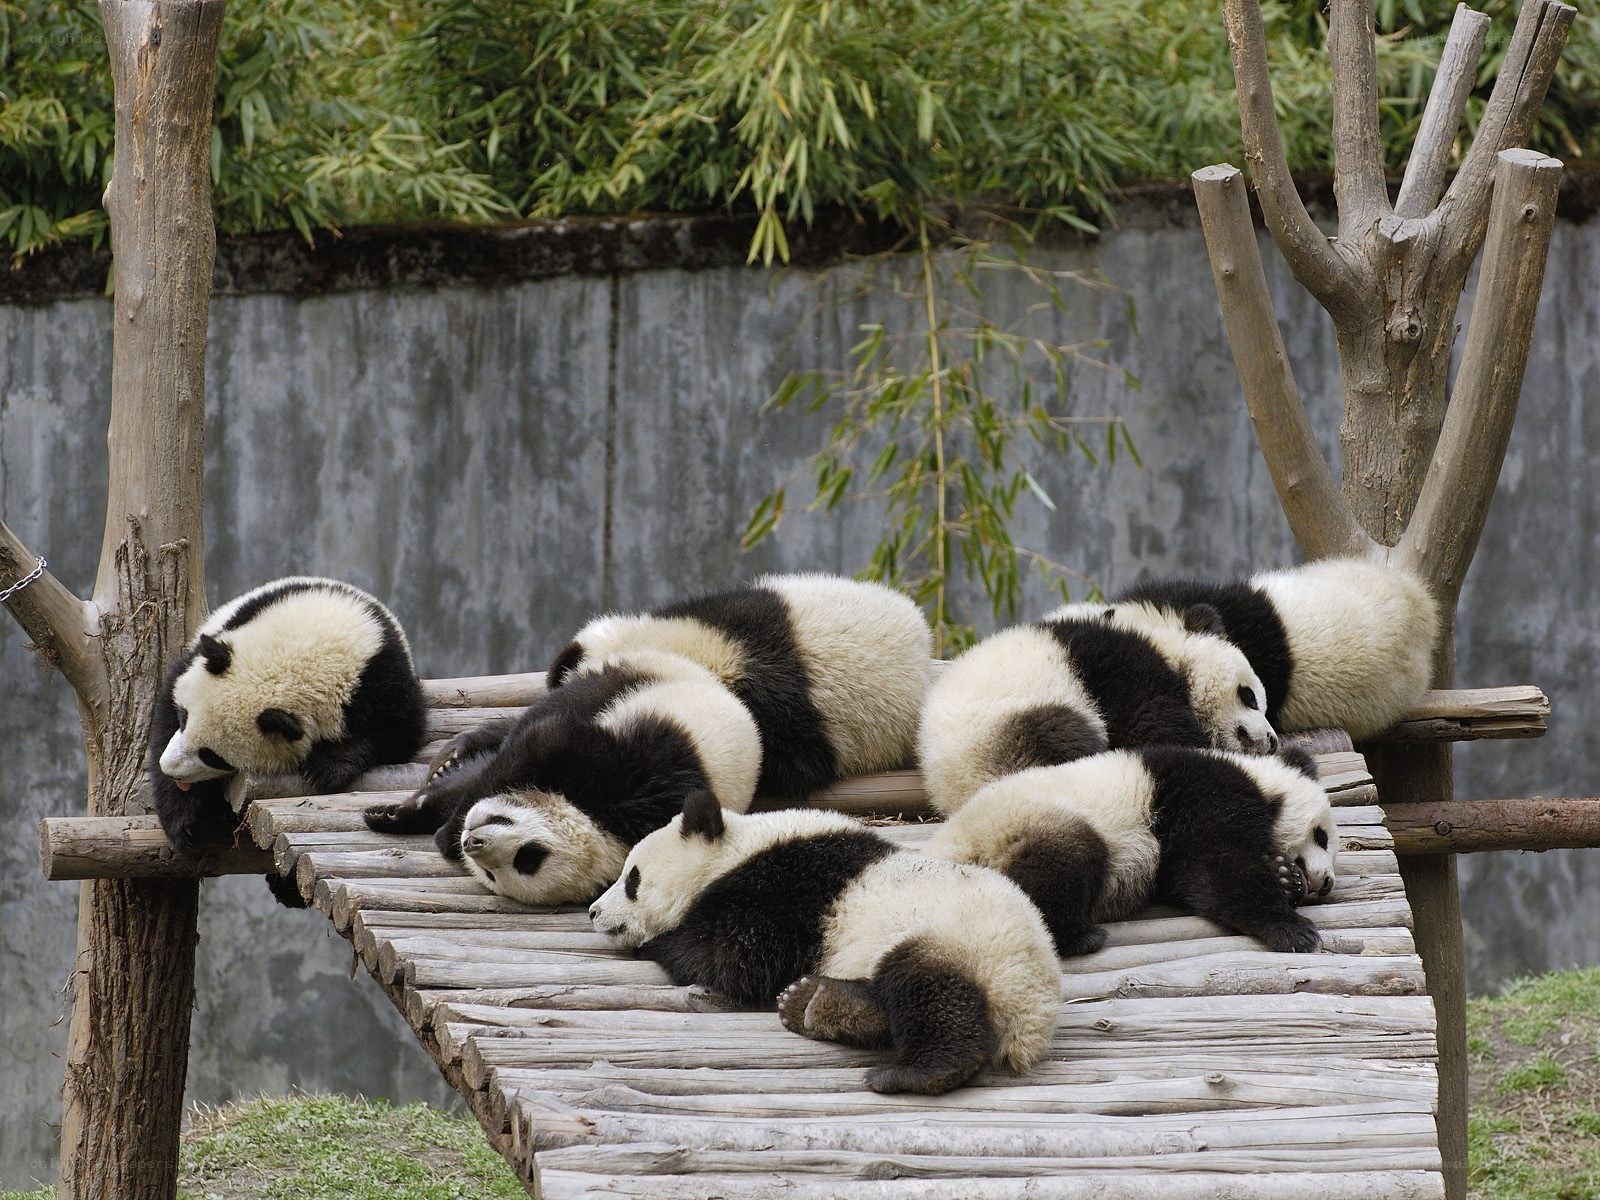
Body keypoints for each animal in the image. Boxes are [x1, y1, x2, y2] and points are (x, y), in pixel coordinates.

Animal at [150, 576, 426, 856]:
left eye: (213, 756)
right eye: (184, 718)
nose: (169, 768)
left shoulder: (379, 676)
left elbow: (399, 734)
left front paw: (325, 768)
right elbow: (165, 711)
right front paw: (186, 822)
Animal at [363, 651, 763, 905]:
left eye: (521, 863)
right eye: (531, 854)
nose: (472, 843)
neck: (605, 825)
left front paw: (433, 826)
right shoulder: (632, 774)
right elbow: (540, 742)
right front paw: (432, 821)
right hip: (635, 681)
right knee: (549, 710)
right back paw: (456, 755)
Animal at [589, 793, 1062, 1096]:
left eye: (632, 879)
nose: (593, 912)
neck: (735, 850)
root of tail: (1033, 1013)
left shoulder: (783, 892)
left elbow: (736, 959)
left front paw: (659, 942)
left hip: (961, 941)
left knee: (929, 988)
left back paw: (911, 1073)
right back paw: (815, 1004)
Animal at [918, 609, 1277, 815]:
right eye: (1249, 697)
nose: (1272, 741)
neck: (1168, 648)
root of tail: (949, 791)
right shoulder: (1122, 669)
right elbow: (1153, 725)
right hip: (1004, 727)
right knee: (1062, 737)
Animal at [925, 745, 1337, 957]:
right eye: (1322, 836)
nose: (1328, 882)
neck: (1260, 780)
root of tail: (948, 850)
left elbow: (1189, 879)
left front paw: (1285, 877)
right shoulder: (1202, 794)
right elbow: (1216, 866)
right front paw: (1292, 929)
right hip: (1022, 823)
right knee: (1065, 862)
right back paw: (1077, 936)